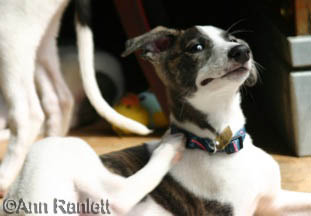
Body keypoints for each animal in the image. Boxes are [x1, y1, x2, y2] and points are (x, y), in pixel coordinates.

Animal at [3, 24, 311, 214]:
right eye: (196, 47)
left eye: (233, 40)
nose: (242, 51)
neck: (222, 144)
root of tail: (12, 200)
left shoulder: (274, 201)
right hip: (62, 149)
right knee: (119, 196)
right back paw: (168, 147)